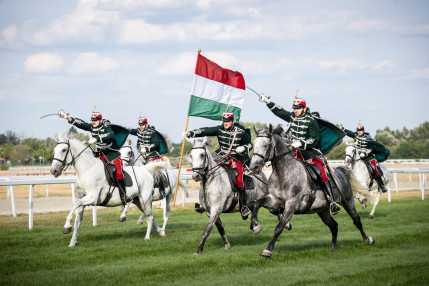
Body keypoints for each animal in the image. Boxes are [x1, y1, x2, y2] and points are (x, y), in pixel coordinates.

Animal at [249, 126, 372, 258]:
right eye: (254, 144)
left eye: (266, 145)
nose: (253, 167)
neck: (283, 173)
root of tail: (341, 172)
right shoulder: (275, 201)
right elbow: (257, 203)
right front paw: (255, 226)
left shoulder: (291, 205)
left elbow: (279, 226)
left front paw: (267, 250)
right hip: (323, 210)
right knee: (334, 225)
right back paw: (333, 247)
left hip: (348, 202)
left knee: (356, 220)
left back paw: (367, 239)